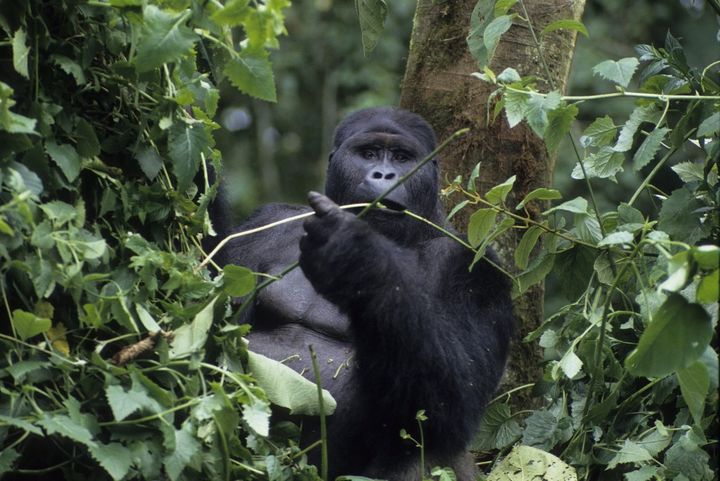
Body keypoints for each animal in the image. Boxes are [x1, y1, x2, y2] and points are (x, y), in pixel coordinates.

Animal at [211, 107, 516, 478]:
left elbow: (454, 402)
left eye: (401, 157)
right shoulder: (267, 223)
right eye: (368, 153)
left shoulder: (476, 265)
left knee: (427, 446)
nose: (384, 174)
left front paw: (355, 257)